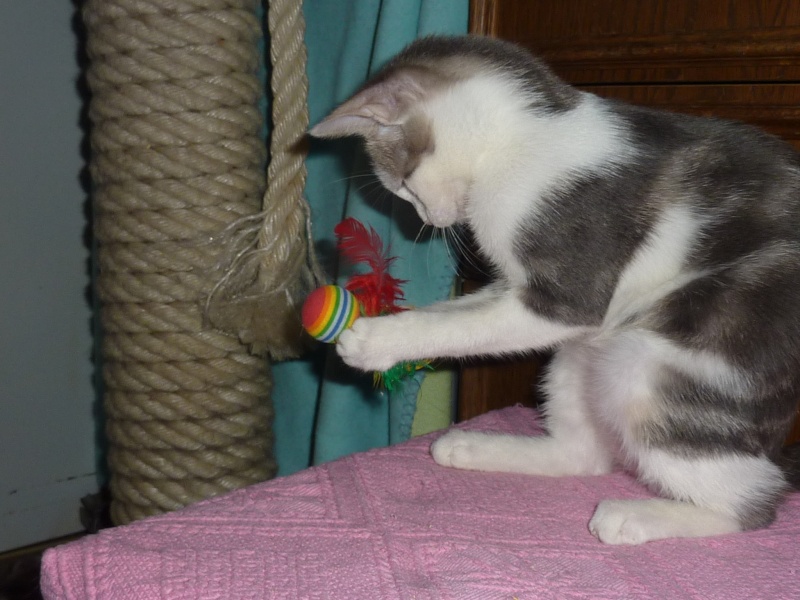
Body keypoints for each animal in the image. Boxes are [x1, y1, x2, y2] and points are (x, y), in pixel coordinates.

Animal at [310, 35, 800, 548]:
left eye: (403, 185)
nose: (428, 220)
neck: (522, 142)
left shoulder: (568, 297)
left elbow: (465, 326)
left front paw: (376, 341)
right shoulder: (514, 288)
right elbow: (457, 312)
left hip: (653, 367)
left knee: (756, 501)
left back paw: (639, 515)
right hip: (579, 357)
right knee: (583, 456)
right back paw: (476, 446)